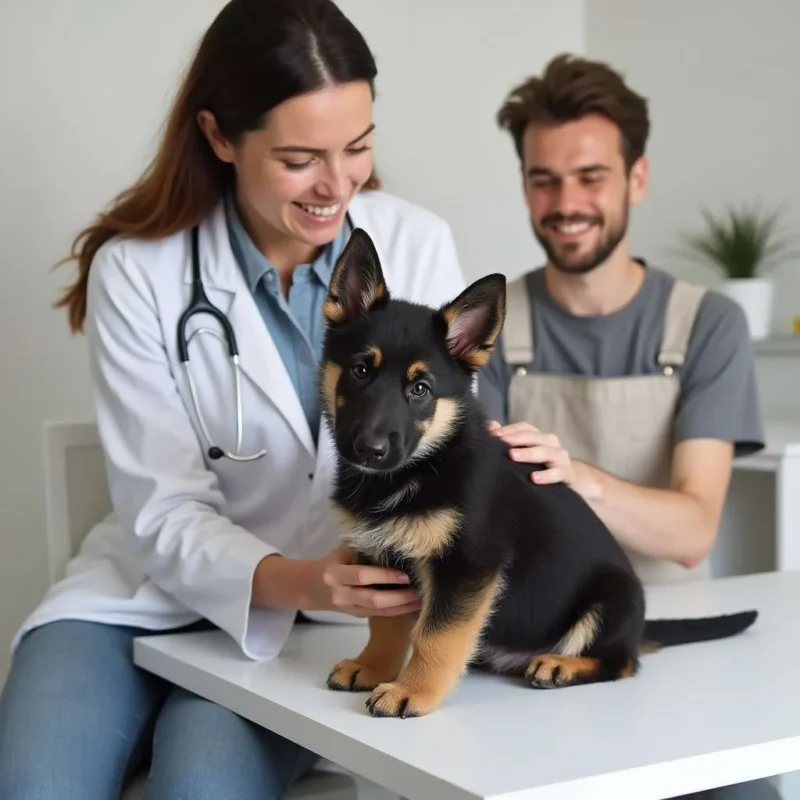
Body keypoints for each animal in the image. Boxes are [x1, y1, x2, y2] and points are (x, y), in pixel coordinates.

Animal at [318, 227, 756, 720]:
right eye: (360, 370)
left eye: (421, 389)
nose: (369, 450)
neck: (423, 465)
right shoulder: (379, 561)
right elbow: (386, 624)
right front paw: (373, 666)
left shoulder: (468, 566)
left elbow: (435, 636)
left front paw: (414, 690)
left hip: (611, 599)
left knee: (621, 662)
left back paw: (561, 665)